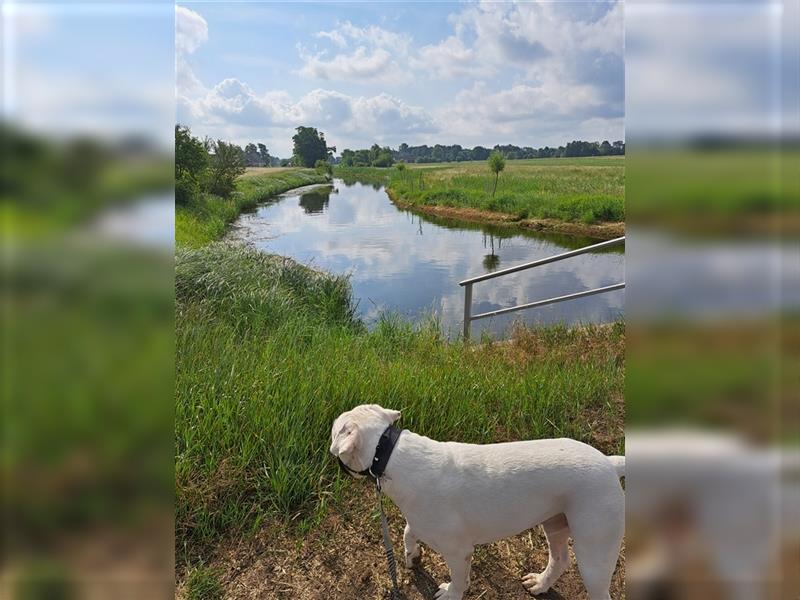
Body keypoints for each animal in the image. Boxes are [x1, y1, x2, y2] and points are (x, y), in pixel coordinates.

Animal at [330, 406, 624, 596]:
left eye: (334, 430)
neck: (387, 453)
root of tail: (609, 463)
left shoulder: (458, 551)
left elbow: (459, 580)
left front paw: (450, 593)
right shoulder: (422, 521)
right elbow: (408, 532)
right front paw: (412, 555)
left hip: (594, 551)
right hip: (555, 522)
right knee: (560, 559)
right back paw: (540, 584)